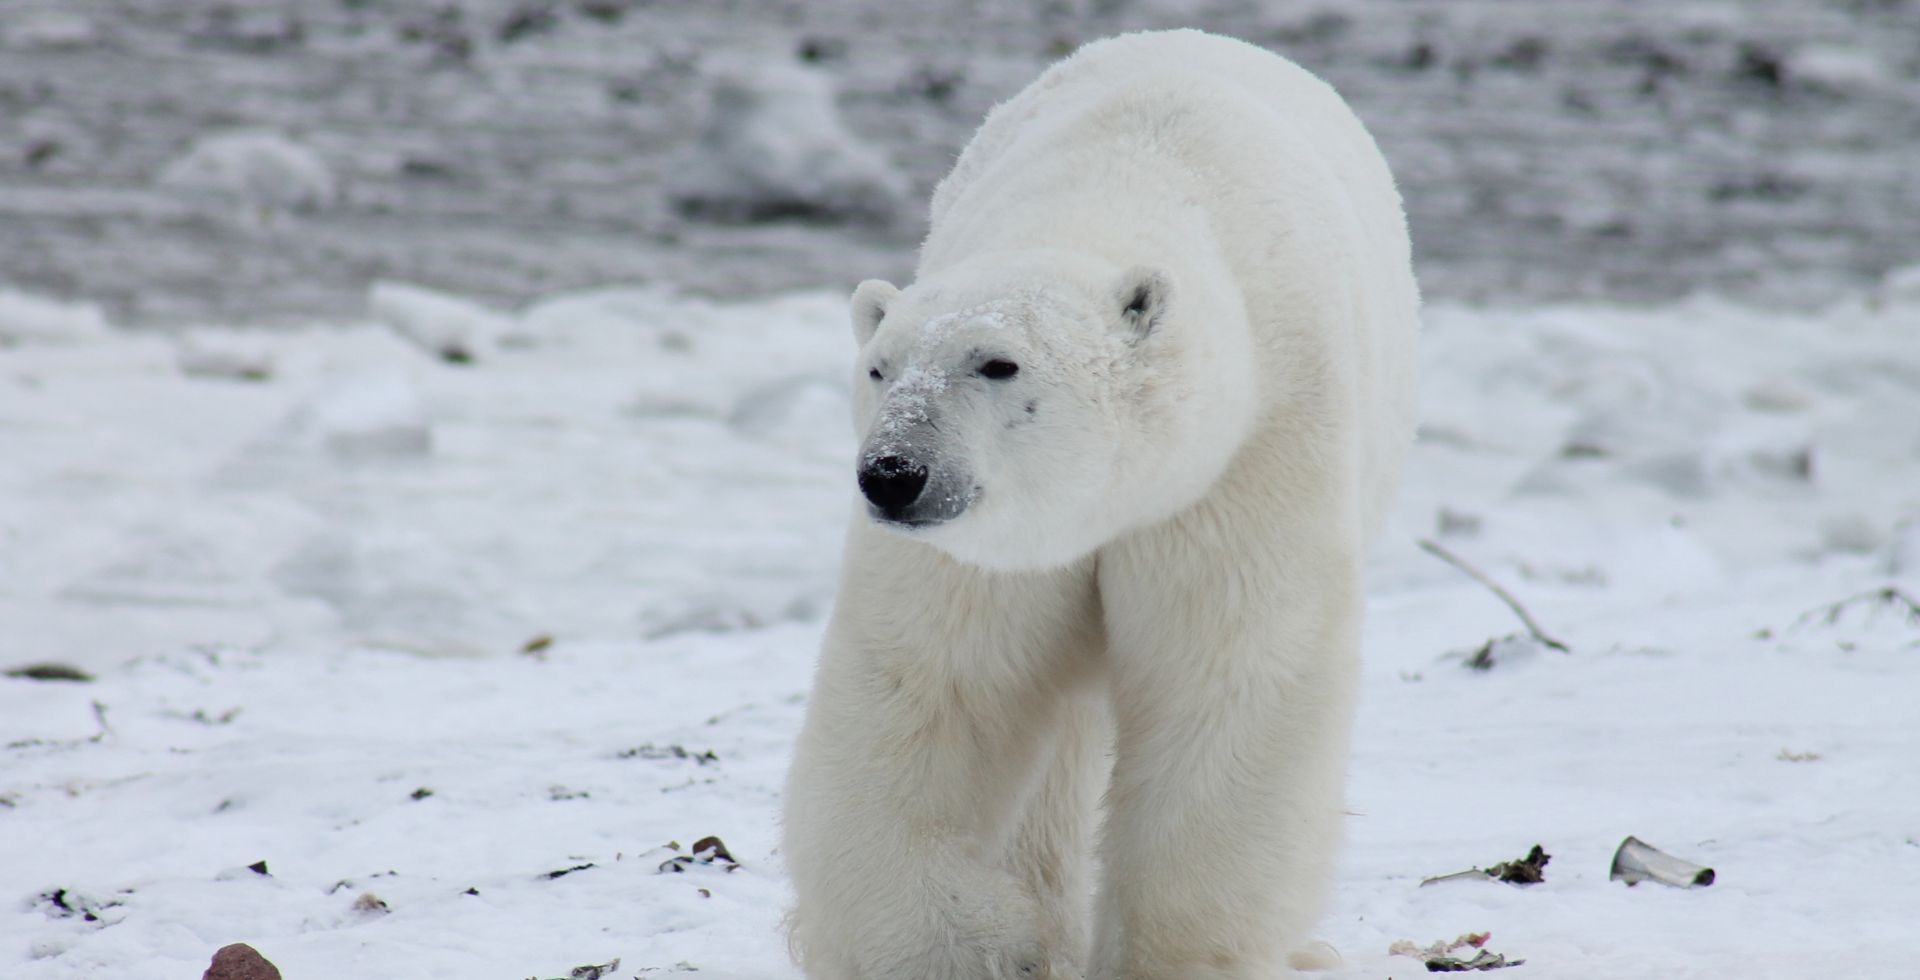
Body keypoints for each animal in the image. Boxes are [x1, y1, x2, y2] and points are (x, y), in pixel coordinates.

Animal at [783, 28, 1428, 980]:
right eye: (879, 368)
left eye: (998, 363)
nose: (895, 473)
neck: (1118, 189)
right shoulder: (994, 550)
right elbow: (934, 684)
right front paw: (975, 943)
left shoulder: (1245, 458)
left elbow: (1228, 677)